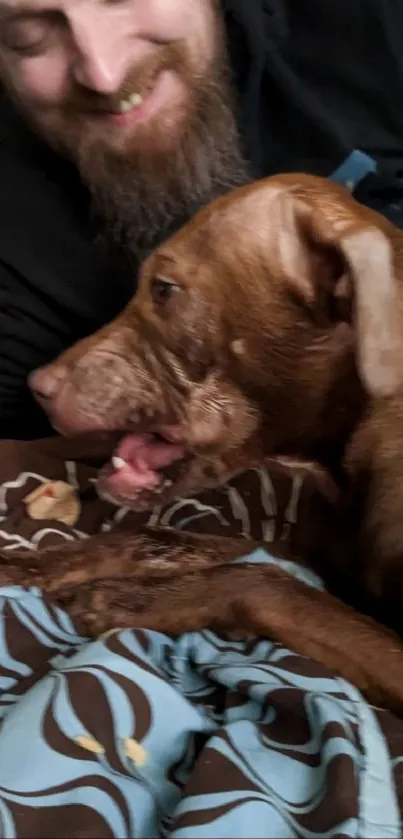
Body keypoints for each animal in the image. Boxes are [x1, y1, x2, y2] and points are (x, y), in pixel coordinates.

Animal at [2, 176, 403, 716]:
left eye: (164, 289)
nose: (36, 386)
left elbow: (267, 584)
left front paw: (129, 600)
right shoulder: (316, 561)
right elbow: (161, 539)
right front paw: (40, 565)